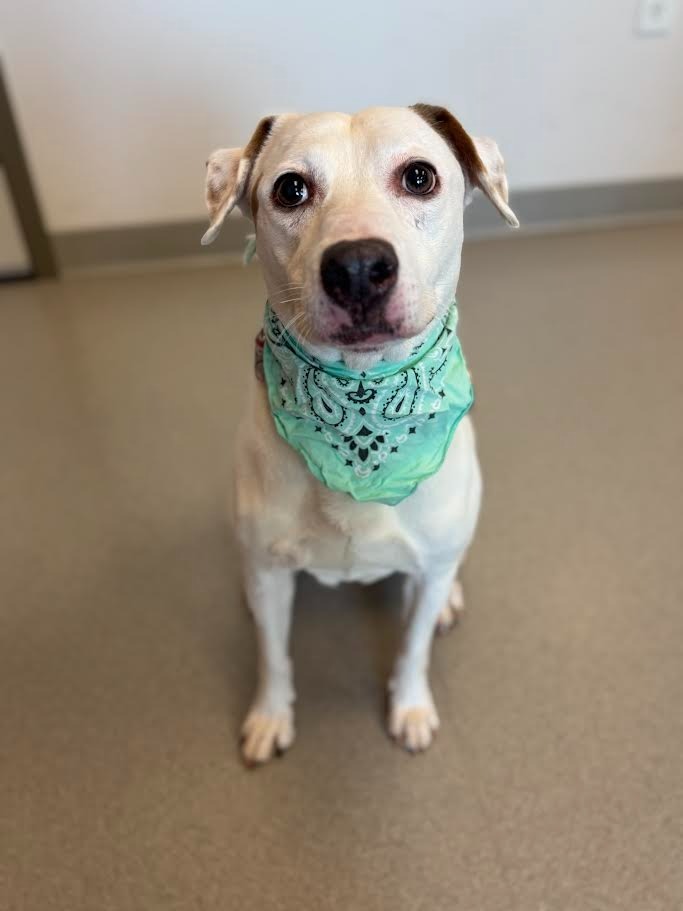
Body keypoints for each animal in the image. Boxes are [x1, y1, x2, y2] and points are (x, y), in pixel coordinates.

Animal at [203, 103, 520, 764]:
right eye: (290, 189)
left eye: (420, 176)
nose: (356, 267)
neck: (361, 407)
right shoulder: (270, 574)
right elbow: (272, 656)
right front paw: (270, 716)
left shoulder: (426, 573)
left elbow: (413, 646)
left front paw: (411, 707)